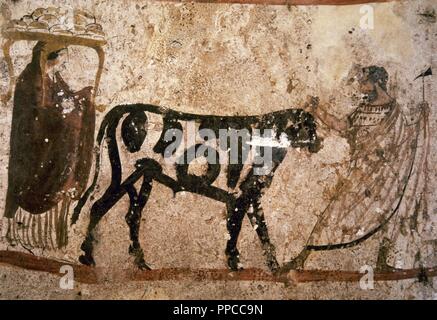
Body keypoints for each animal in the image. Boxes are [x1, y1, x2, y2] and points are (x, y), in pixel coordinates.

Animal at [70, 104, 318, 272]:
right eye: (309, 127)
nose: (319, 142)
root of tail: (124, 108)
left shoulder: (248, 199)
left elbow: (258, 234)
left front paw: (272, 268)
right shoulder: (242, 198)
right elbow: (241, 231)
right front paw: (236, 263)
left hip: (144, 176)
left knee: (132, 216)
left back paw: (139, 261)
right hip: (124, 175)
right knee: (98, 207)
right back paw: (88, 256)